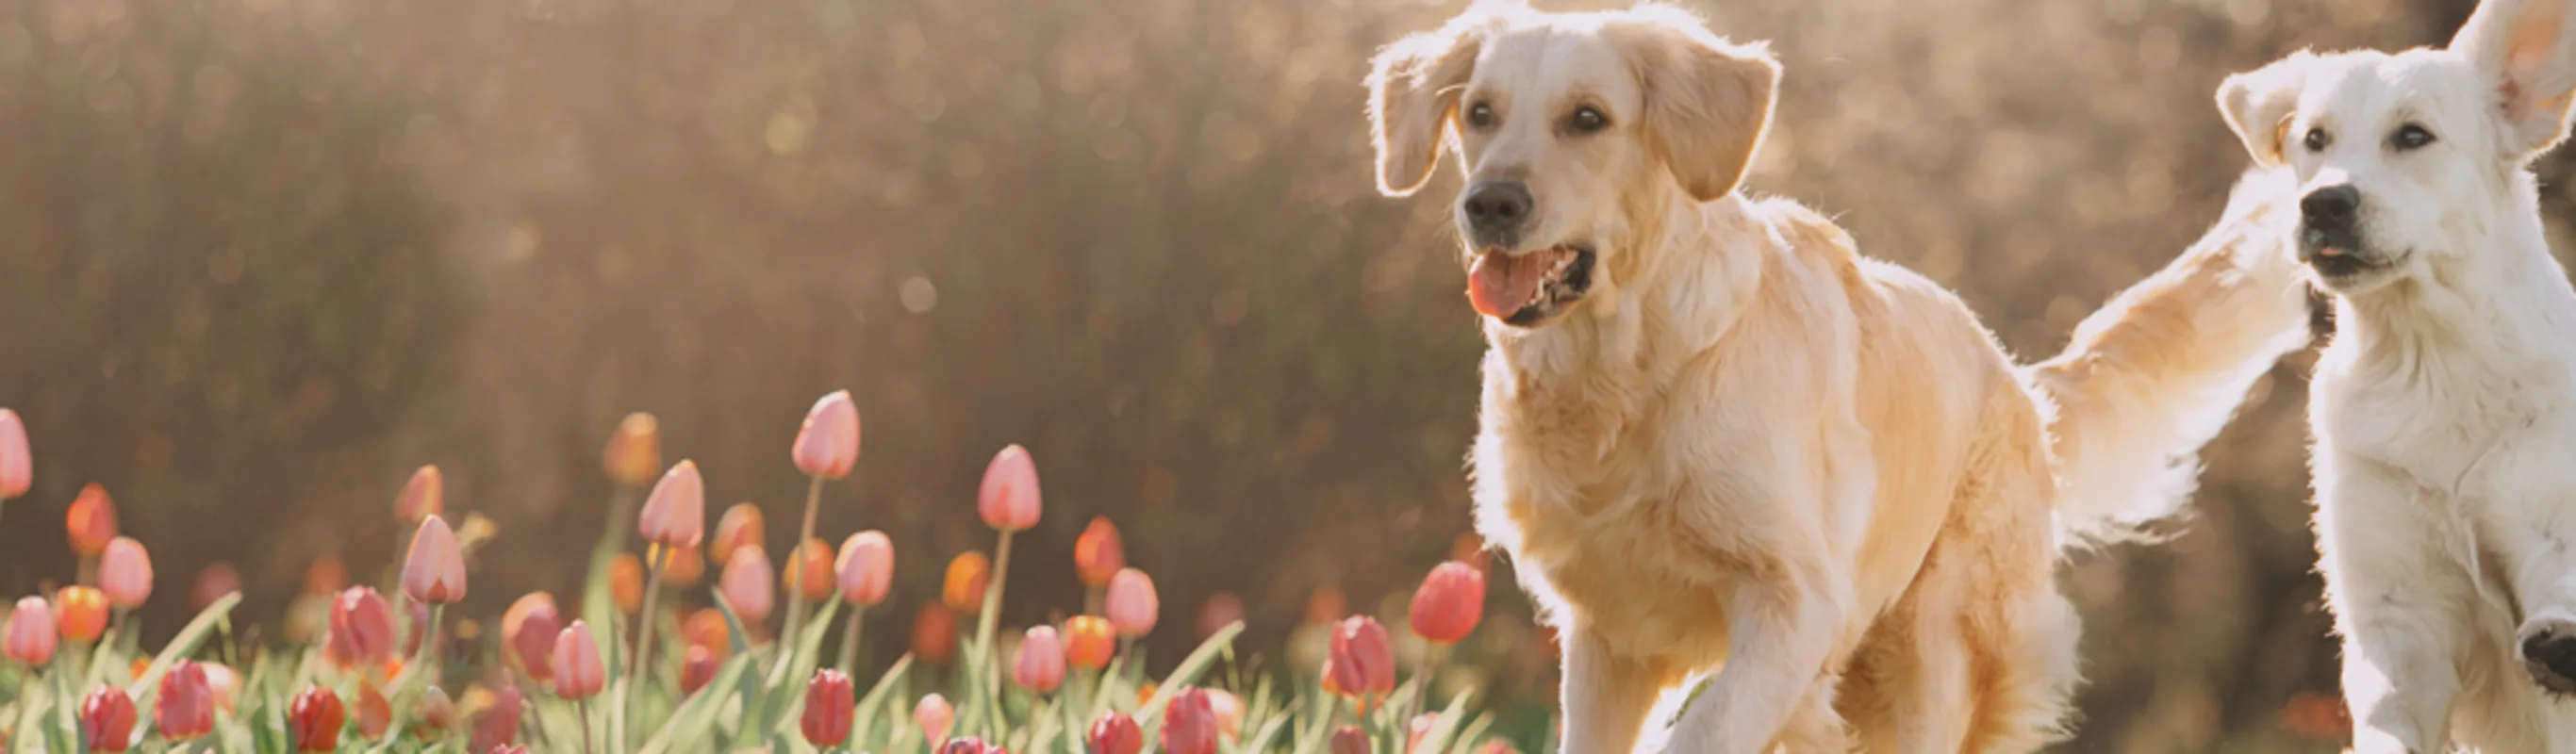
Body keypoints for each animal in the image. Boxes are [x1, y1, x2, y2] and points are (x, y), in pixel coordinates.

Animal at [1370, 3, 2318, 746]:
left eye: (1588, 118)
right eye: (1480, 113)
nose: (1491, 204)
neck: (1632, 366)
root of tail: (2016, 379)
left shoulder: (1795, 601)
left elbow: (1706, 731)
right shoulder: (1610, 637)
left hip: (1933, 649)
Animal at [2215, 0, 2576, 746]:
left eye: (2414, 136)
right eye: (2315, 139)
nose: (2323, 203)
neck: (2430, 357)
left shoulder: (2548, 522)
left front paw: (2561, 640)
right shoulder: (2398, 618)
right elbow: (2389, 713)